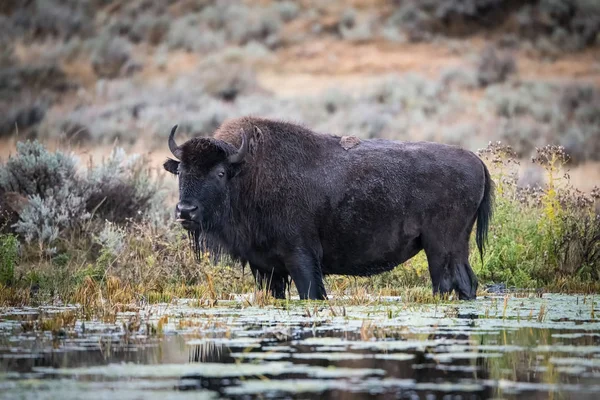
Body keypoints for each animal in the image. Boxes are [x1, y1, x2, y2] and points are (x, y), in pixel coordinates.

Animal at [164, 118, 492, 300]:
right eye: (181, 171)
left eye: (219, 172)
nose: (185, 211)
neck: (247, 174)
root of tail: (477, 162)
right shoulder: (266, 268)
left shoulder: (301, 259)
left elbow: (312, 293)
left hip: (441, 248)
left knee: (450, 283)